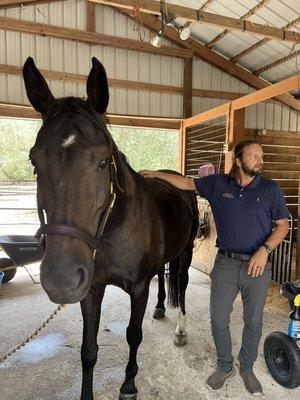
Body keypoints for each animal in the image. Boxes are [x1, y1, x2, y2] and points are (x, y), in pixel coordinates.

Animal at [22, 57, 198, 400]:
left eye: (103, 162)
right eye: (34, 162)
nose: (61, 279)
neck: (113, 232)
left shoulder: (138, 288)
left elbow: (133, 335)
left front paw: (129, 385)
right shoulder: (91, 289)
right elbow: (88, 350)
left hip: (185, 254)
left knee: (182, 286)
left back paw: (182, 331)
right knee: (163, 277)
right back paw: (160, 308)